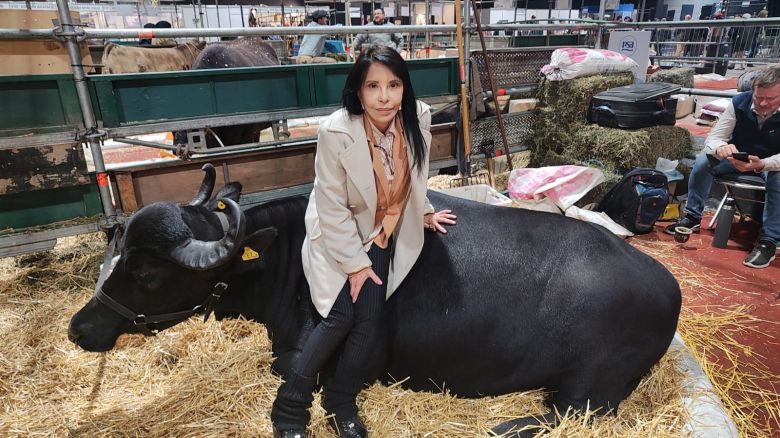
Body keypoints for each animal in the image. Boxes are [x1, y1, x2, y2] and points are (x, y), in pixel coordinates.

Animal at [70, 164, 680, 434]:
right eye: (123, 253)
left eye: (147, 270)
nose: (79, 328)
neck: (286, 262)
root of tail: (666, 285)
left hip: (592, 382)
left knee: (573, 412)